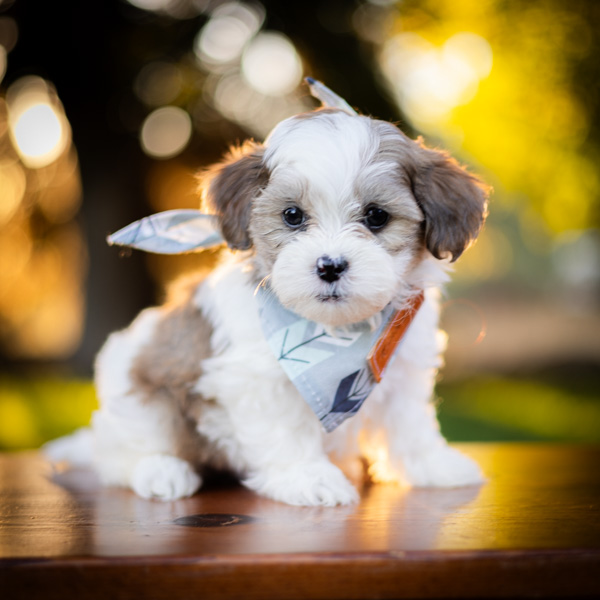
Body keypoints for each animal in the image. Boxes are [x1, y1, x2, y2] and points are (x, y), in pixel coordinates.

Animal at [88, 104, 488, 506]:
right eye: (292, 215)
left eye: (377, 216)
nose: (330, 266)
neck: (336, 331)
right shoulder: (257, 377)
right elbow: (286, 429)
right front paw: (308, 477)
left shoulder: (402, 366)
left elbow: (408, 423)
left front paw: (433, 465)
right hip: (138, 391)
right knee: (121, 451)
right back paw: (160, 470)